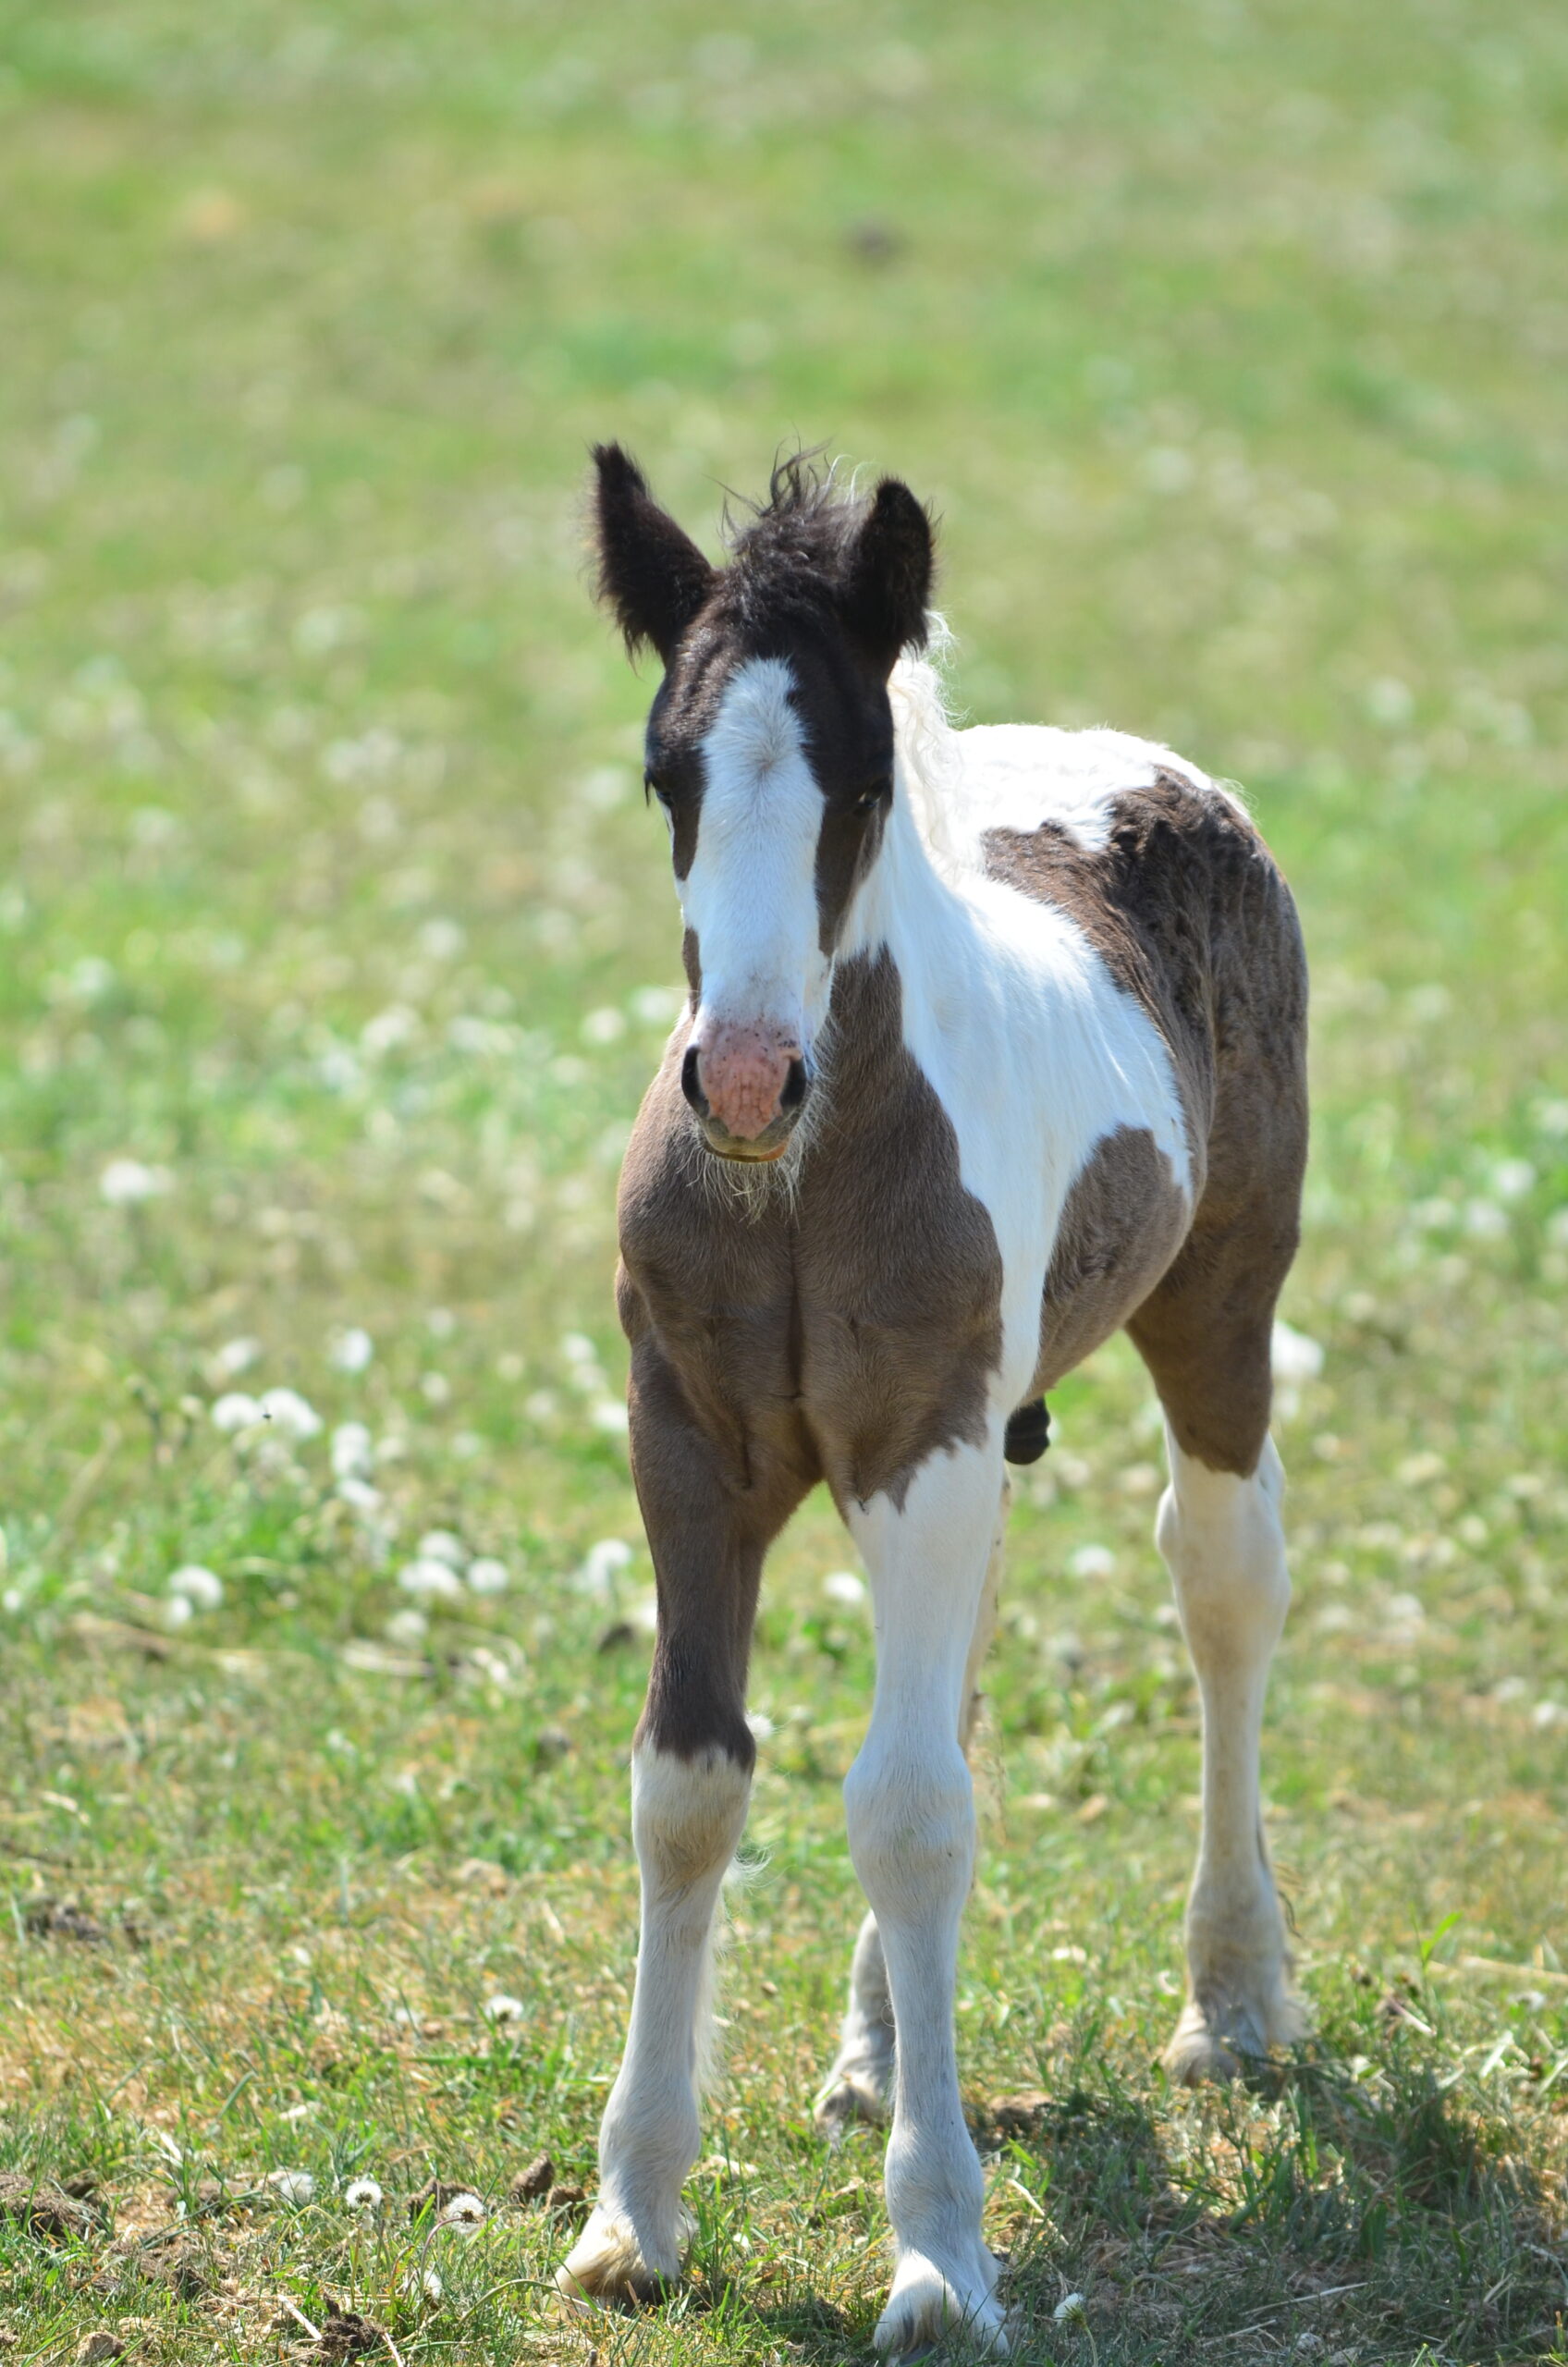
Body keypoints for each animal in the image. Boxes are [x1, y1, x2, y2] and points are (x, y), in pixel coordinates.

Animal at [558, 447, 1307, 2367]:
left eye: (862, 780)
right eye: (667, 773)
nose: (745, 1080)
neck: (800, 1180)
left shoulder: (925, 1445)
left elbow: (905, 1812)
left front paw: (941, 2257)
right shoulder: (687, 1447)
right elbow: (690, 1784)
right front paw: (633, 2214)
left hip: (1214, 1315)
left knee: (1222, 1589)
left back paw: (1236, 1998)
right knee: (956, 1679)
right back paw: (877, 2047)